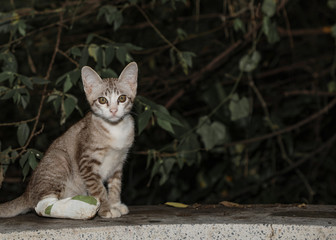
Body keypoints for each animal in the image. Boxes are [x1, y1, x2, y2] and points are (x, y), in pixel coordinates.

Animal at [0, 62, 138, 219]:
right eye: (102, 100)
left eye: (122, 98)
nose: (114, 111)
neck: (115, 129)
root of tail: (27, 193)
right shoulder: (86, 162)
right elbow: (98, 188)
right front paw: (106, 209)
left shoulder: (118, 162)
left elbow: (115, 186)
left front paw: (115, 204)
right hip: (59, 159)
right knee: (42, 205)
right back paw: (81, 208)